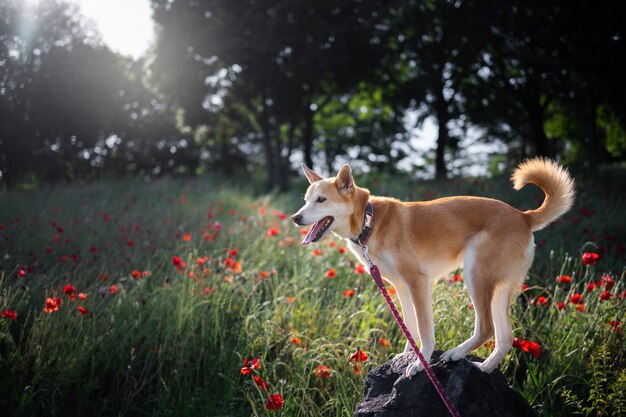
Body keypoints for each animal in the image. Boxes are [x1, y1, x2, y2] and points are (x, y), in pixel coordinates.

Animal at [290, 158, 572, 374]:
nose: (294, 217)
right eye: (306, 199)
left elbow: (425, 331)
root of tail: (522, 216)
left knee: (486, 328)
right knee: (505, 338)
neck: (370, 221)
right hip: (500, 289)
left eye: (321, 200)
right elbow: (410, 327)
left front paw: (419, 363)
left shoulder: (418, 283)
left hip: (476, 275)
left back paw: (456, 353)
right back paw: (485, 368)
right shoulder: (401, 287)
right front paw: (407, 355)